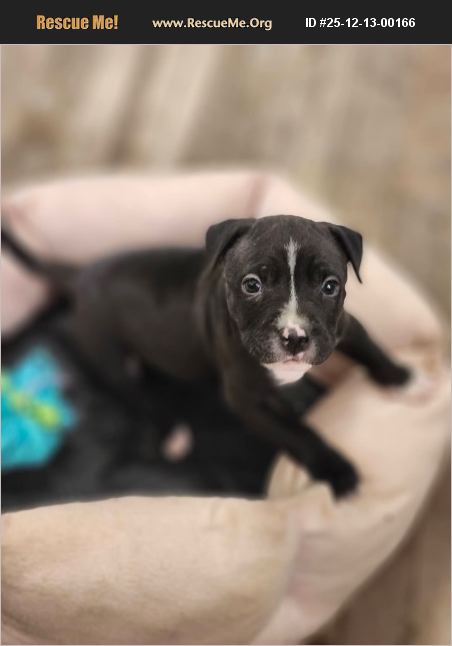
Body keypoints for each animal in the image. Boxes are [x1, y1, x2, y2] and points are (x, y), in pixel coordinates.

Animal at [2, 215, 411, 496]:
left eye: (330, 286)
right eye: (252, 285)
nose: (294, 337)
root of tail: (80, 275)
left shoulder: (343, 327)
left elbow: (371, 348)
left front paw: (399, 376)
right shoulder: (247, 402)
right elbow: (298, 435)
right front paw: (336, 471)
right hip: (110, 358)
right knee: (137, 396)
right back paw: (171, 434)